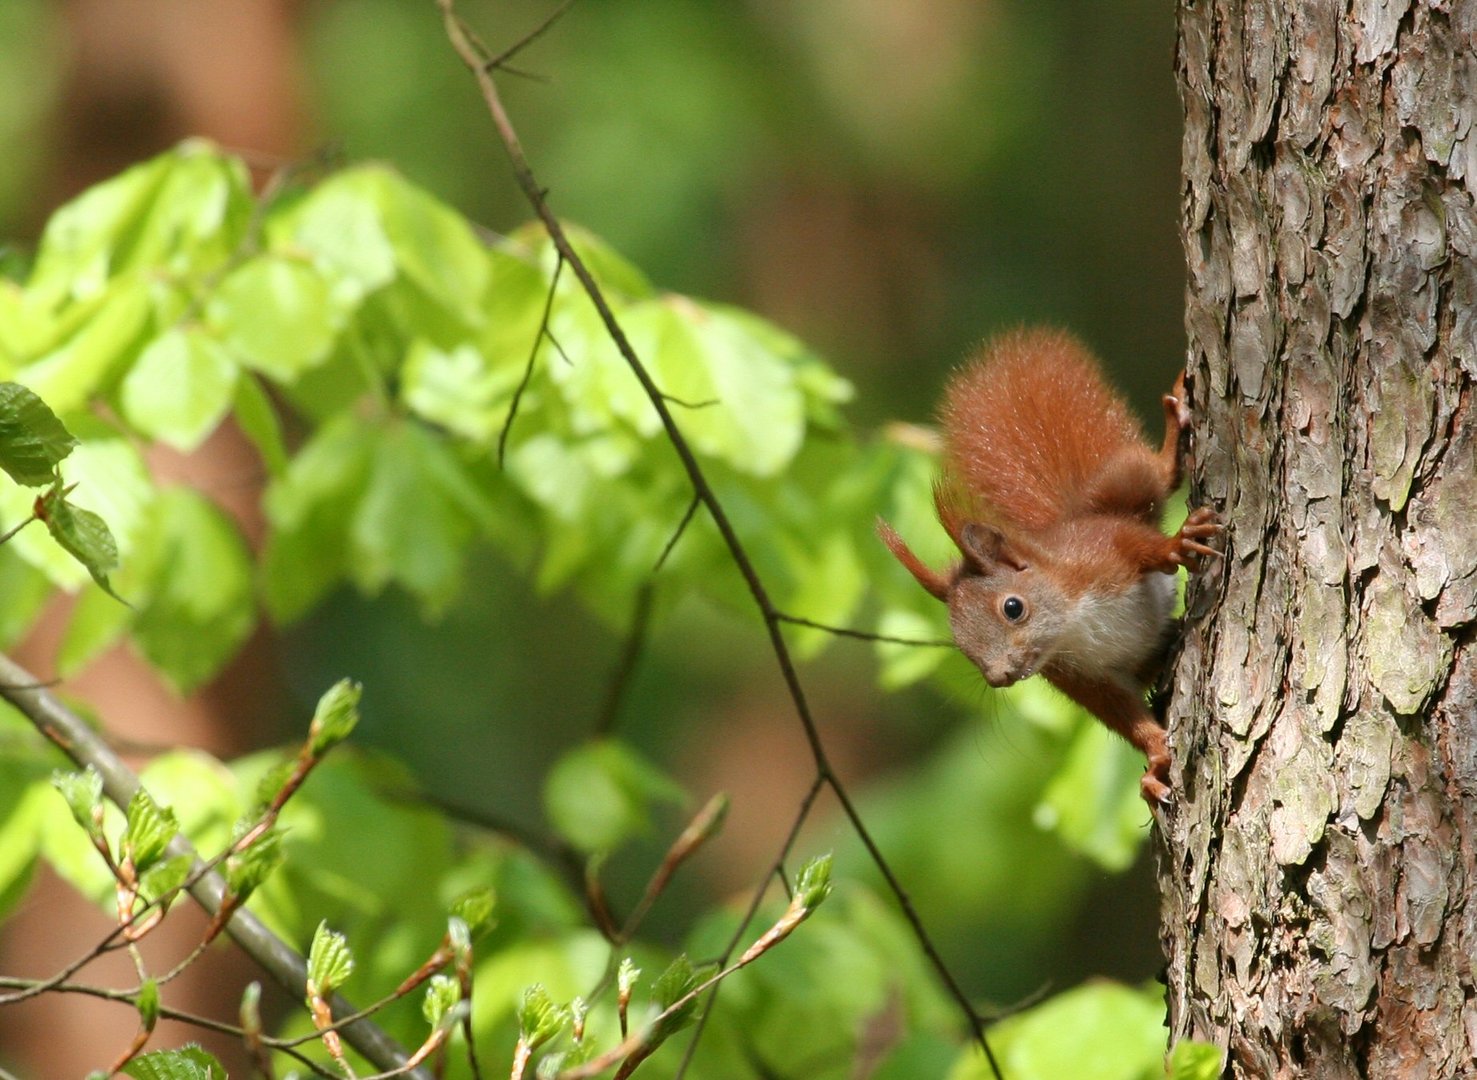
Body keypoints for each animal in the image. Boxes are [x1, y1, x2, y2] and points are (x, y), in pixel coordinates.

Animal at [880, 325, 1217, 809]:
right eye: (960, 645)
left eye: (1013, 608)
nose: (999, 677)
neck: (1071, 621)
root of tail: (1067, 515)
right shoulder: (1080, 677)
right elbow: (1123, 715)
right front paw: (1155, 762)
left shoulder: (1100, 551)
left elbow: (1138, 544)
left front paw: (1175, 546)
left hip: (1117, 488)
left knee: (1154, 477)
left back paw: (1173, 435)